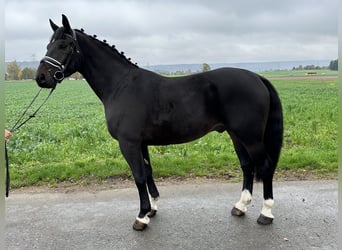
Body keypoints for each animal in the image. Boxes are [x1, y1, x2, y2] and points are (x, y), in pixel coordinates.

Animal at [36, 15, 284, 230]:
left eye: (64, 45)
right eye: (48, 45)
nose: (41, 77)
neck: (121, 86)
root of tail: (257, 77)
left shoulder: (129, 143)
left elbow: (138, 176)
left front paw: (141, 217)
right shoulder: (141, 143)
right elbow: (148, 172)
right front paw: (152, 208)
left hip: (250, 137)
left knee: (264, 165)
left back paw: (266, 213)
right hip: (236, 135)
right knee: (247, 165)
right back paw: (240, 206)